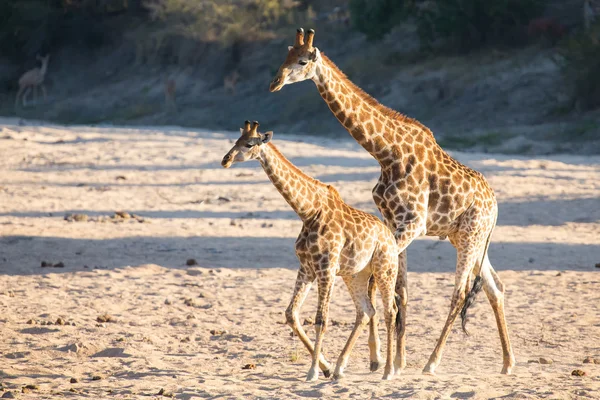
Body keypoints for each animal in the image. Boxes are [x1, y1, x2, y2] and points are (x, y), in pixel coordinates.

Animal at [221, 121, 404, 382]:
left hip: (384, 269)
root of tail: (389, 236)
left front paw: (312, 372)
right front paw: (325, 367)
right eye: (235, 140)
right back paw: (340, 368)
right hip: (354, 274)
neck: (307, 212)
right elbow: (291, 314)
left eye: (248, 144)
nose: (225, 160)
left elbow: (320, 320)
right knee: (366, 311)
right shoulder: (306, 267)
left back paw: (388, 371)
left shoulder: (325, 268)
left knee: (390, 311)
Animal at [268, 28, 516, 376]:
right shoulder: (391, 222)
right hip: (471, 239)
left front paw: (375, 360)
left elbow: (377, 283)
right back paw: (507, 362)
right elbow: (400, 290)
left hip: (470, 236)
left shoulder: (412, 223)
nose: (275, 82)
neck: (386, 152)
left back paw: (432, 362)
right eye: (285, 55)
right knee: (495, 287)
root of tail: (495, 206)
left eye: (302, 61)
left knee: (460, 292)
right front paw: (391, 360)